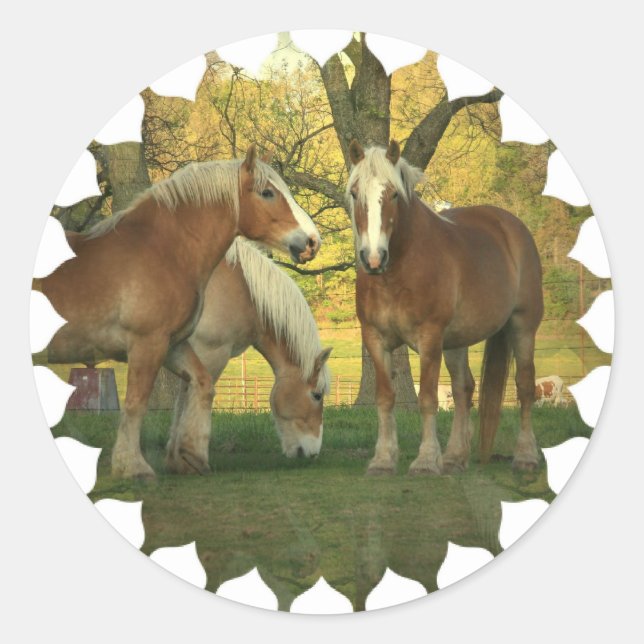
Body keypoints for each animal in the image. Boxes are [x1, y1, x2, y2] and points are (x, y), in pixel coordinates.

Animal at [165, 238, 332, 473]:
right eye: (316, 395)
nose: (313, 453)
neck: (242, 289)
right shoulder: (209, 354)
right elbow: (191, 398)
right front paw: (185, 459)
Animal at [347, 140, 543, 475]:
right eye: (354, 193)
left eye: (394, 194)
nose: (373, 258)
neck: (399, 269)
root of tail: (512, 226)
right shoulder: (374, 338)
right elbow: (385, 398)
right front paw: (383, 459)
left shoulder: (429, 338)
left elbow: (427, 398)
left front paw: (426, 460)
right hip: (455, 341)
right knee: (464, 389)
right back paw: (454, 457)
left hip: (522, 327)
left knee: (525, 386)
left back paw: (526, 456)